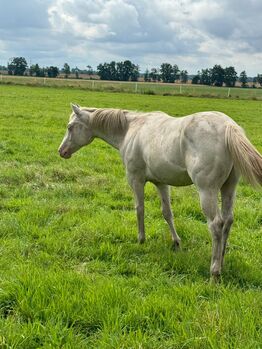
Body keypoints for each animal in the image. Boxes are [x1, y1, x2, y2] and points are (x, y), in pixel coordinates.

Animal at [58, 104, 260, 280]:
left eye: (70, 127)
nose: (61, 151)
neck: (131, 129)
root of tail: (228, 126)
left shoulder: (135, 180)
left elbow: (139, 209)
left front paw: (141, 239)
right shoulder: (161, 183)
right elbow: (167, 213)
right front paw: (176, 243)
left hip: (207, 190)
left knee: (216, 224)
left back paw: (214, 272)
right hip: (229, 188)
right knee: (228, 221)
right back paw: (222, 261)